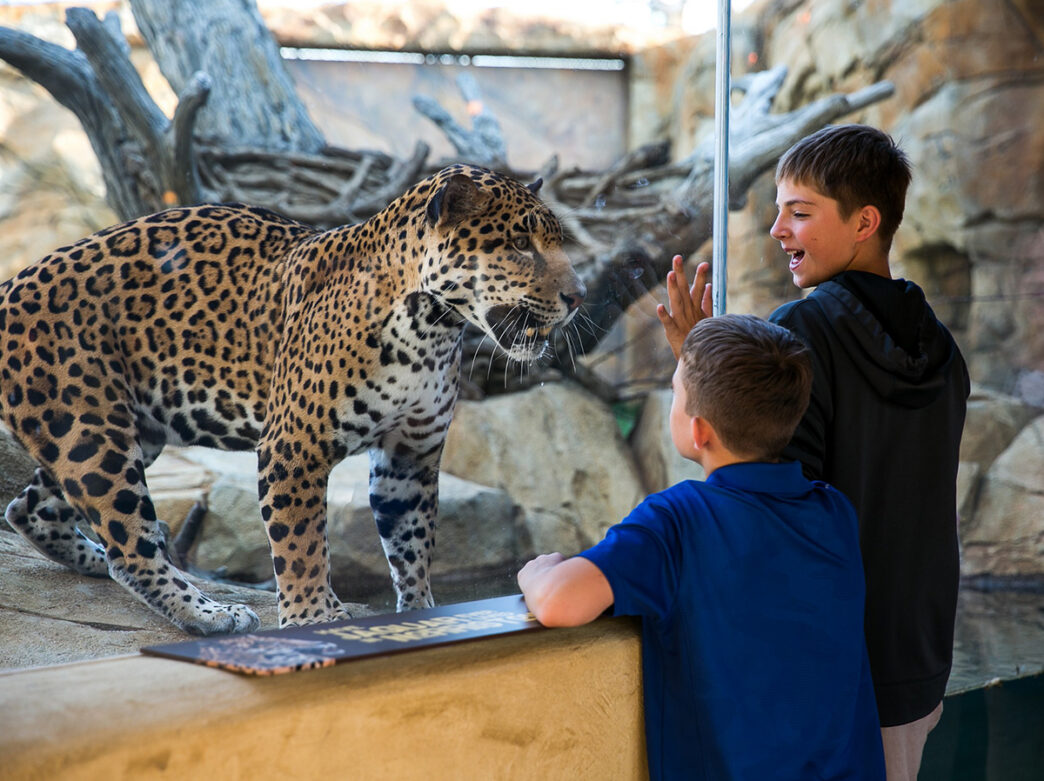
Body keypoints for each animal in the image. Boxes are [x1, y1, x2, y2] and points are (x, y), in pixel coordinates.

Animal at [0, 164, 585, 635]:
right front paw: (311, 617)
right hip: (90, 432)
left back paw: (91, 558)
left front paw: (420, 613)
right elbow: (301, 544)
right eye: (519, 245)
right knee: (131, 547)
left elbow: (412, 543)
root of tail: (10, 285)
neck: (433, 328)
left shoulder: (409, 456)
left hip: (125, 429)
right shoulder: (293, 448)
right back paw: (210, 613)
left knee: (30, 509)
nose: (578, 297)